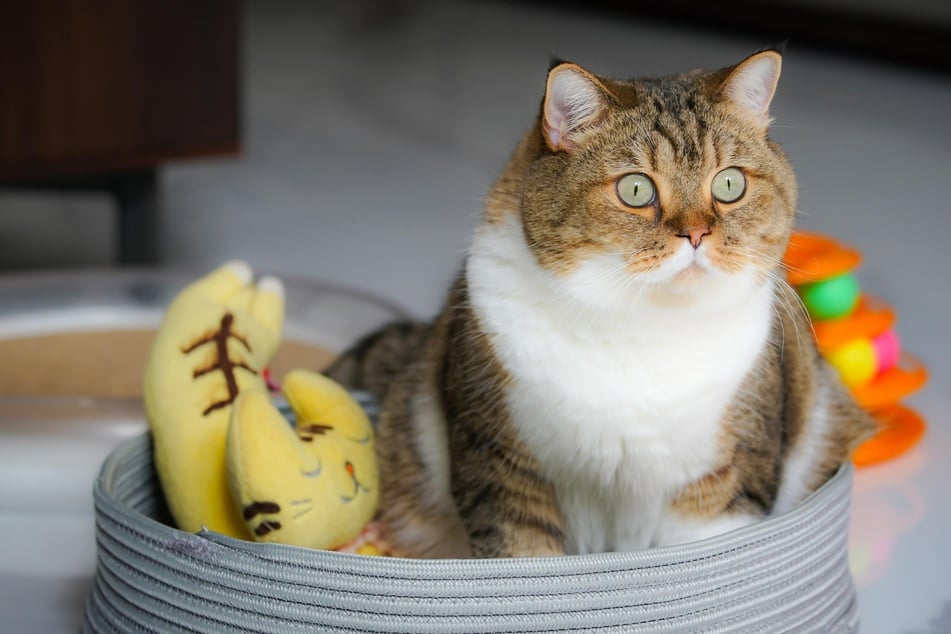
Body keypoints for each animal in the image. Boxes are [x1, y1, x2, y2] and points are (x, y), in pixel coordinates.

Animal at [326, 48, 876, 552]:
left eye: (729, 183)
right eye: (635, 189)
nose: (697, 234)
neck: (642, 326)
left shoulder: (723, 484)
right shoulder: (503, 472)